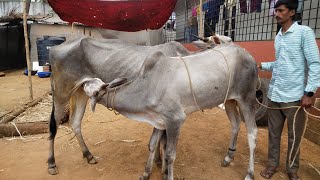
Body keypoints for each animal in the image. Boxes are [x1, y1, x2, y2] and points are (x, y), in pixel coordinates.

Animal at [81, 45, 258, 179]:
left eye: (92, 89)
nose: (83, 83)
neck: (147, 86)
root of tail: (248, 54)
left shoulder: (175, 120)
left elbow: (170, 155)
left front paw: (166, 173)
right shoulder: (159, 120)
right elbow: (152, 144)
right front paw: (146, 173)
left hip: (247, 99)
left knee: (252, 133)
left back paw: (250, 173)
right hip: (230, 100)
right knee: (235, 125)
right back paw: (228, 157)